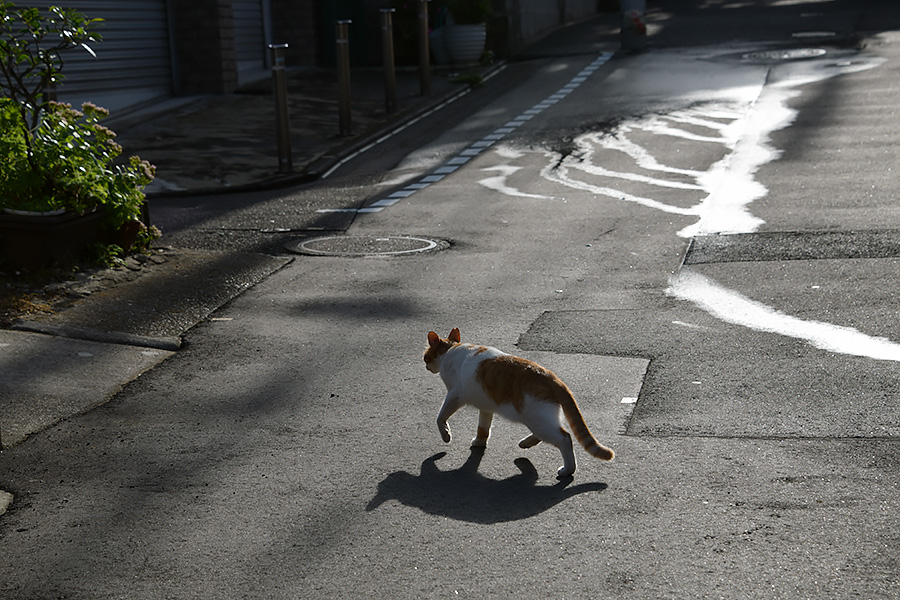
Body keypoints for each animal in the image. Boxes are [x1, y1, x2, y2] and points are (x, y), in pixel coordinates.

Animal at [424, 328, 612, 478]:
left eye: (426, 357)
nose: (425, 366)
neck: (451, 350)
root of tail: (552, 377)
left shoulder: (455, 396)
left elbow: (440, 417)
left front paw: (446, 435)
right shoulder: (486, 407)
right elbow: (483, 428)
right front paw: (479, 442)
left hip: (537, 420)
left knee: (564, 438)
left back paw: (567, 470)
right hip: (540, 420)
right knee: (550, 434)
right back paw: (526, 443)